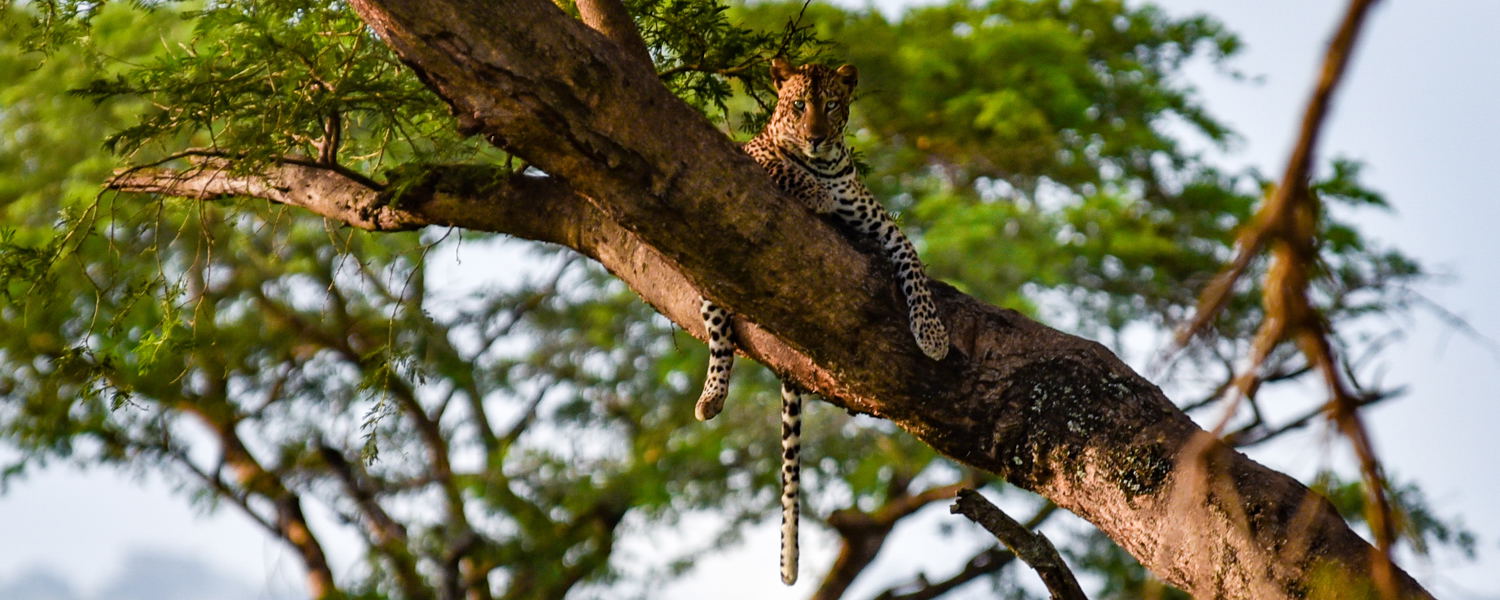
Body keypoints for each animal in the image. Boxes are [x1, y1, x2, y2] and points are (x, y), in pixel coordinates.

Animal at [693, 58, 950, 585]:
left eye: (830, 105)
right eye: (797, 106)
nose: (814, 137)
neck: (828, 165)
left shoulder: (885, 227)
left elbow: (915, 268)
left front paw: (931, 334)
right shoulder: (748, 156)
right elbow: (779, 166)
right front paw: (812, 189)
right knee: (719, 336)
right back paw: (711, 397)